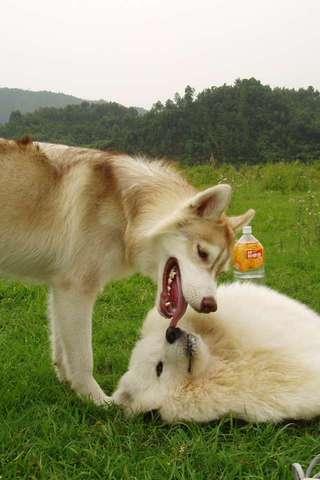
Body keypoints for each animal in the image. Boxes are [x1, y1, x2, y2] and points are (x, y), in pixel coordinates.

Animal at [0, 137, 255, 404]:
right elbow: (83, 359)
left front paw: (68, 385)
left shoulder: (60, 289)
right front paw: (98, 401)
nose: (210, 306)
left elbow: (61, 348)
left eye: (220, 270)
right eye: (202, 253)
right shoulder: (77, 291)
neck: (126, 211)